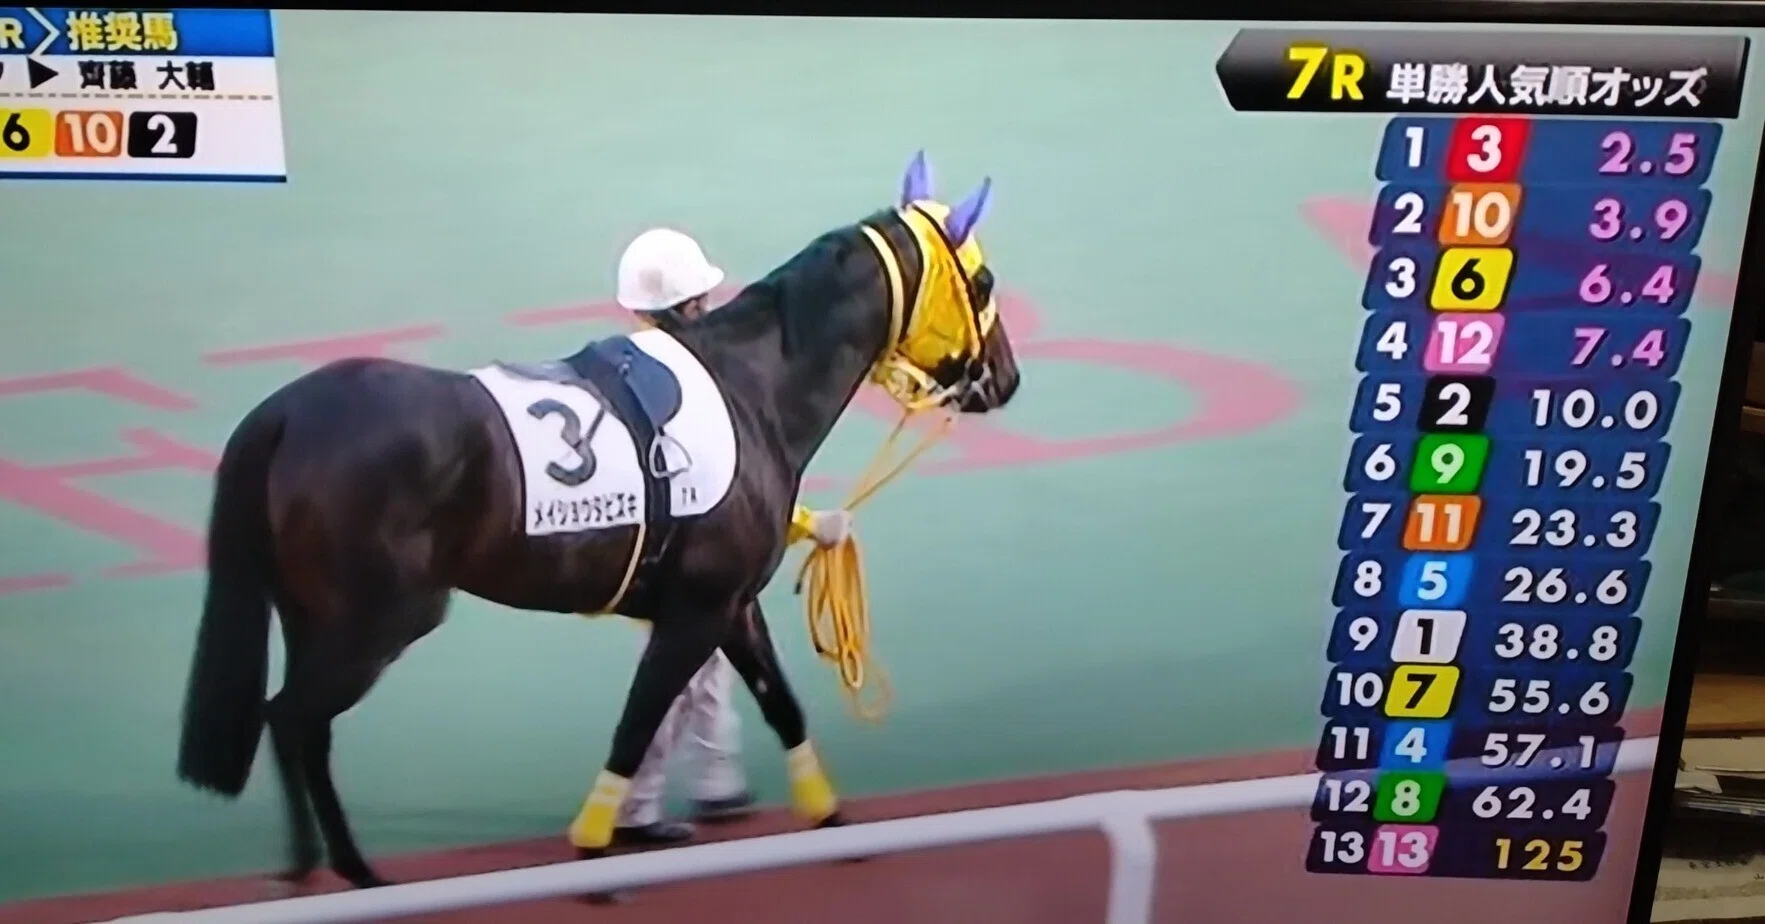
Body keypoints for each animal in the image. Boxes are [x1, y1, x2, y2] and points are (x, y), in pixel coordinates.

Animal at [174, 151, 1023, 892]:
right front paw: (593, 849)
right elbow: (636, 725)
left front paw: (831, 822)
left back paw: (320, 864)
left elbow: (780, 706)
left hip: (312, 613)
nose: (1007, 378)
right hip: (380, 618)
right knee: (292, 717)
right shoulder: (698, 610)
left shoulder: (728, 606)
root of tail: (286, 412)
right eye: (982, 279)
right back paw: (345, 868)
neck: (751, 388)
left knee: (296, 723)